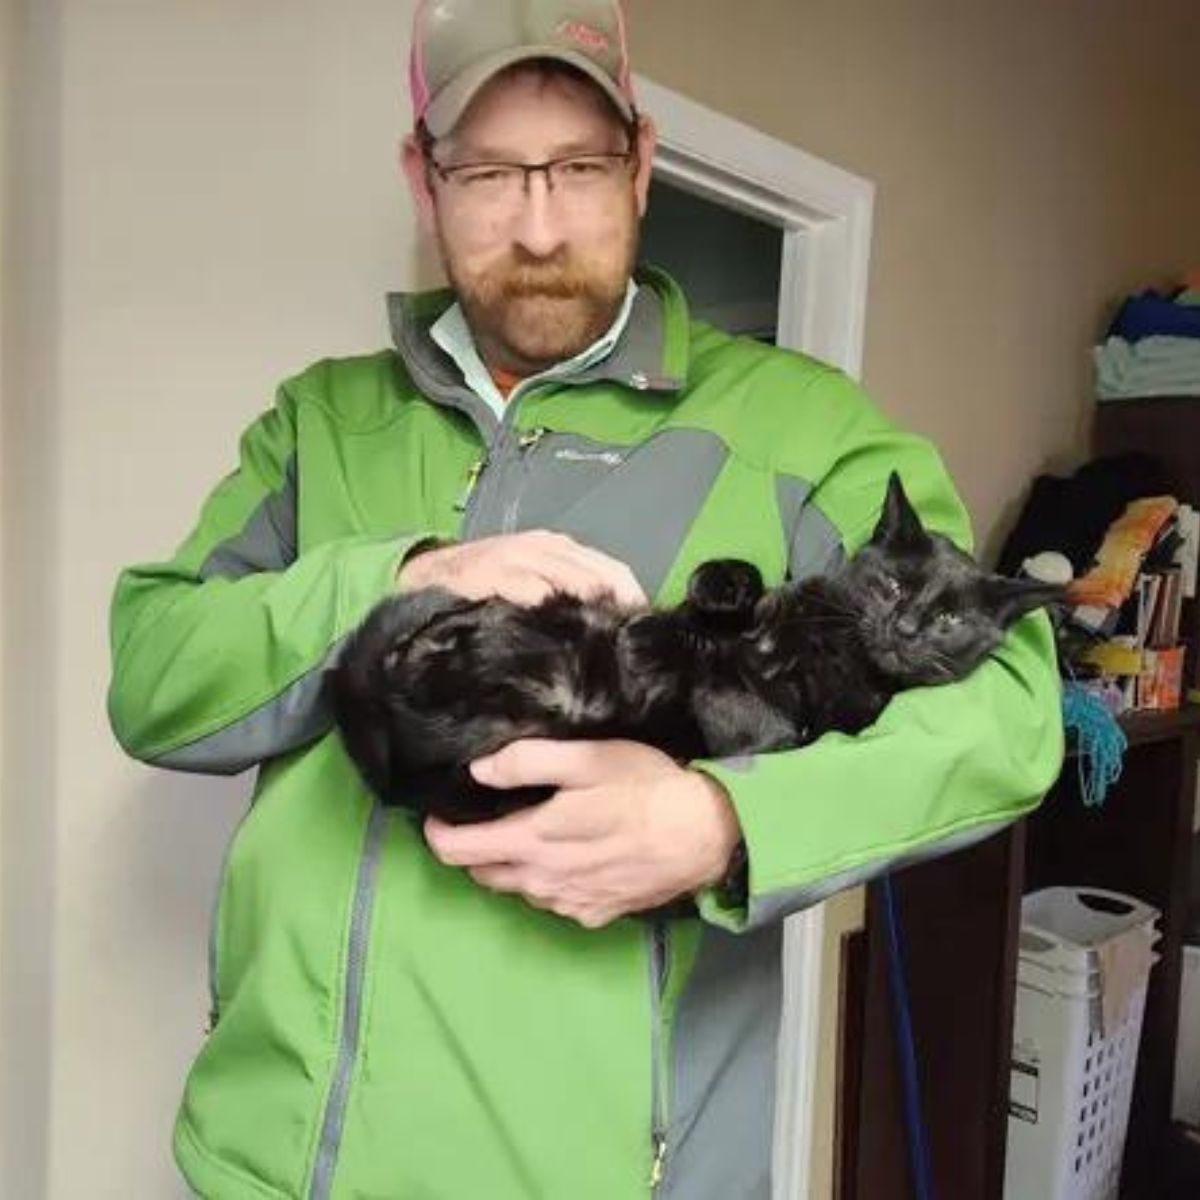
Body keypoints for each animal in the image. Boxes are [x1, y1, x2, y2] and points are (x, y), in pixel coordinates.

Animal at [328, 475, 1060, 825]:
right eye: (892, 584)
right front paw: (715, 591)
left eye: (948, 621)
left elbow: (755, 720)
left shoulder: (808, 724)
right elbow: (724, 594)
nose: (905, 628)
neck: (822, 645)